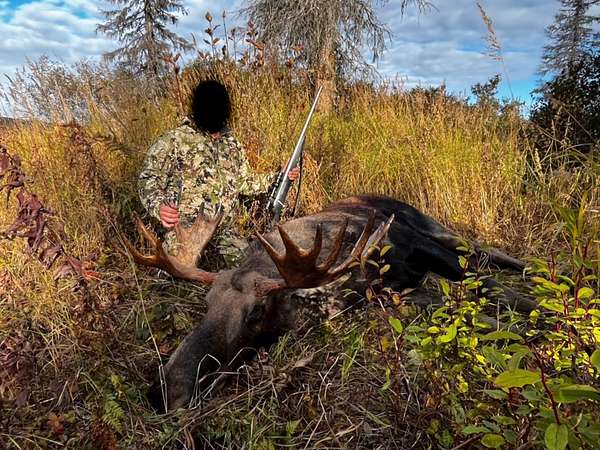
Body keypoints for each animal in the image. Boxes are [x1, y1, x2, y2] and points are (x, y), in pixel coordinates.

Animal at [123, 194, 537, 411]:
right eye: (206, 303)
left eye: (256, 312)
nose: (168, 387)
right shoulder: (396, 295)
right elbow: (466, 311)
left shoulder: (417, 245)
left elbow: (494, 289)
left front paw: (543, 321)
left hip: (437, 228)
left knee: (492, 253)